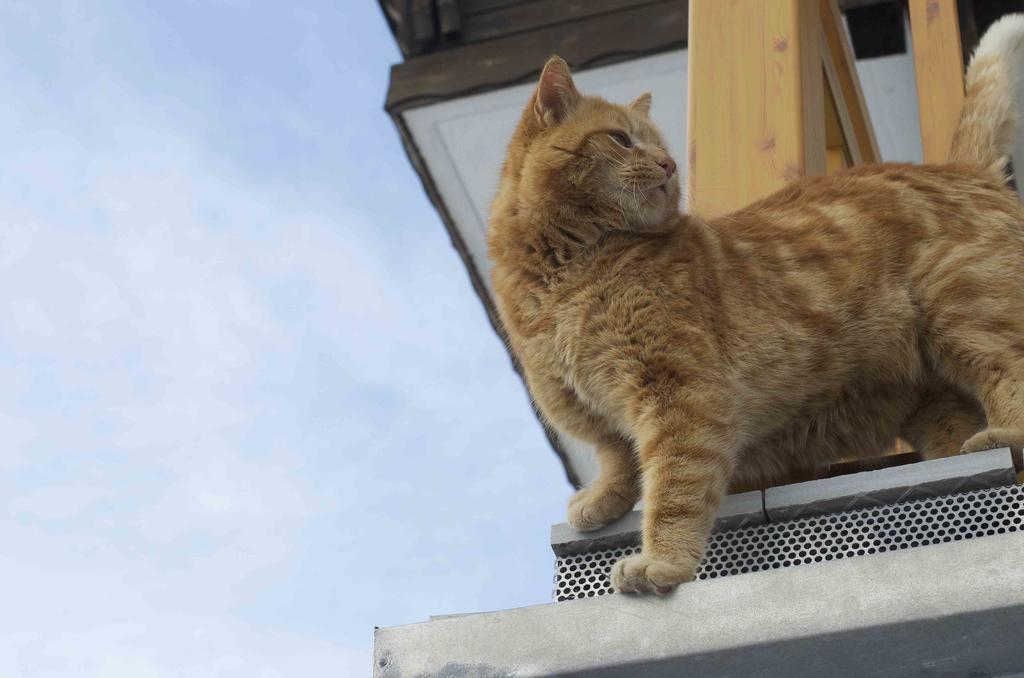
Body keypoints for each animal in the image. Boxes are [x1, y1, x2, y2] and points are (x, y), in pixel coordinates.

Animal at [487, 11, 1024, 594]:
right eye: (621, 139)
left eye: (658, 145)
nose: (668, 165)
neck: (562, 280)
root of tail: (963, 171)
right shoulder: (602, 418)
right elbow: (621, 465)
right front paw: (602, 502)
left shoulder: (679, 395)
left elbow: (673, 487)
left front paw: (662, 563)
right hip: (934, 400)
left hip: (964, 312)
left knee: (1009, 371)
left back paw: (1005, 435)